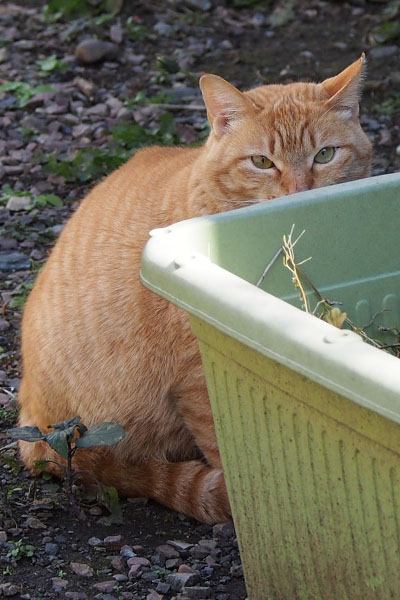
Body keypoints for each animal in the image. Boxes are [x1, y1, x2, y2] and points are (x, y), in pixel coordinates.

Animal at [16, 57, 372, 524]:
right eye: (262, 162)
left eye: (325, 155)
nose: (297, 194)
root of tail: (28, 412)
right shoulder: (197, 376)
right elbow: (227, 452)